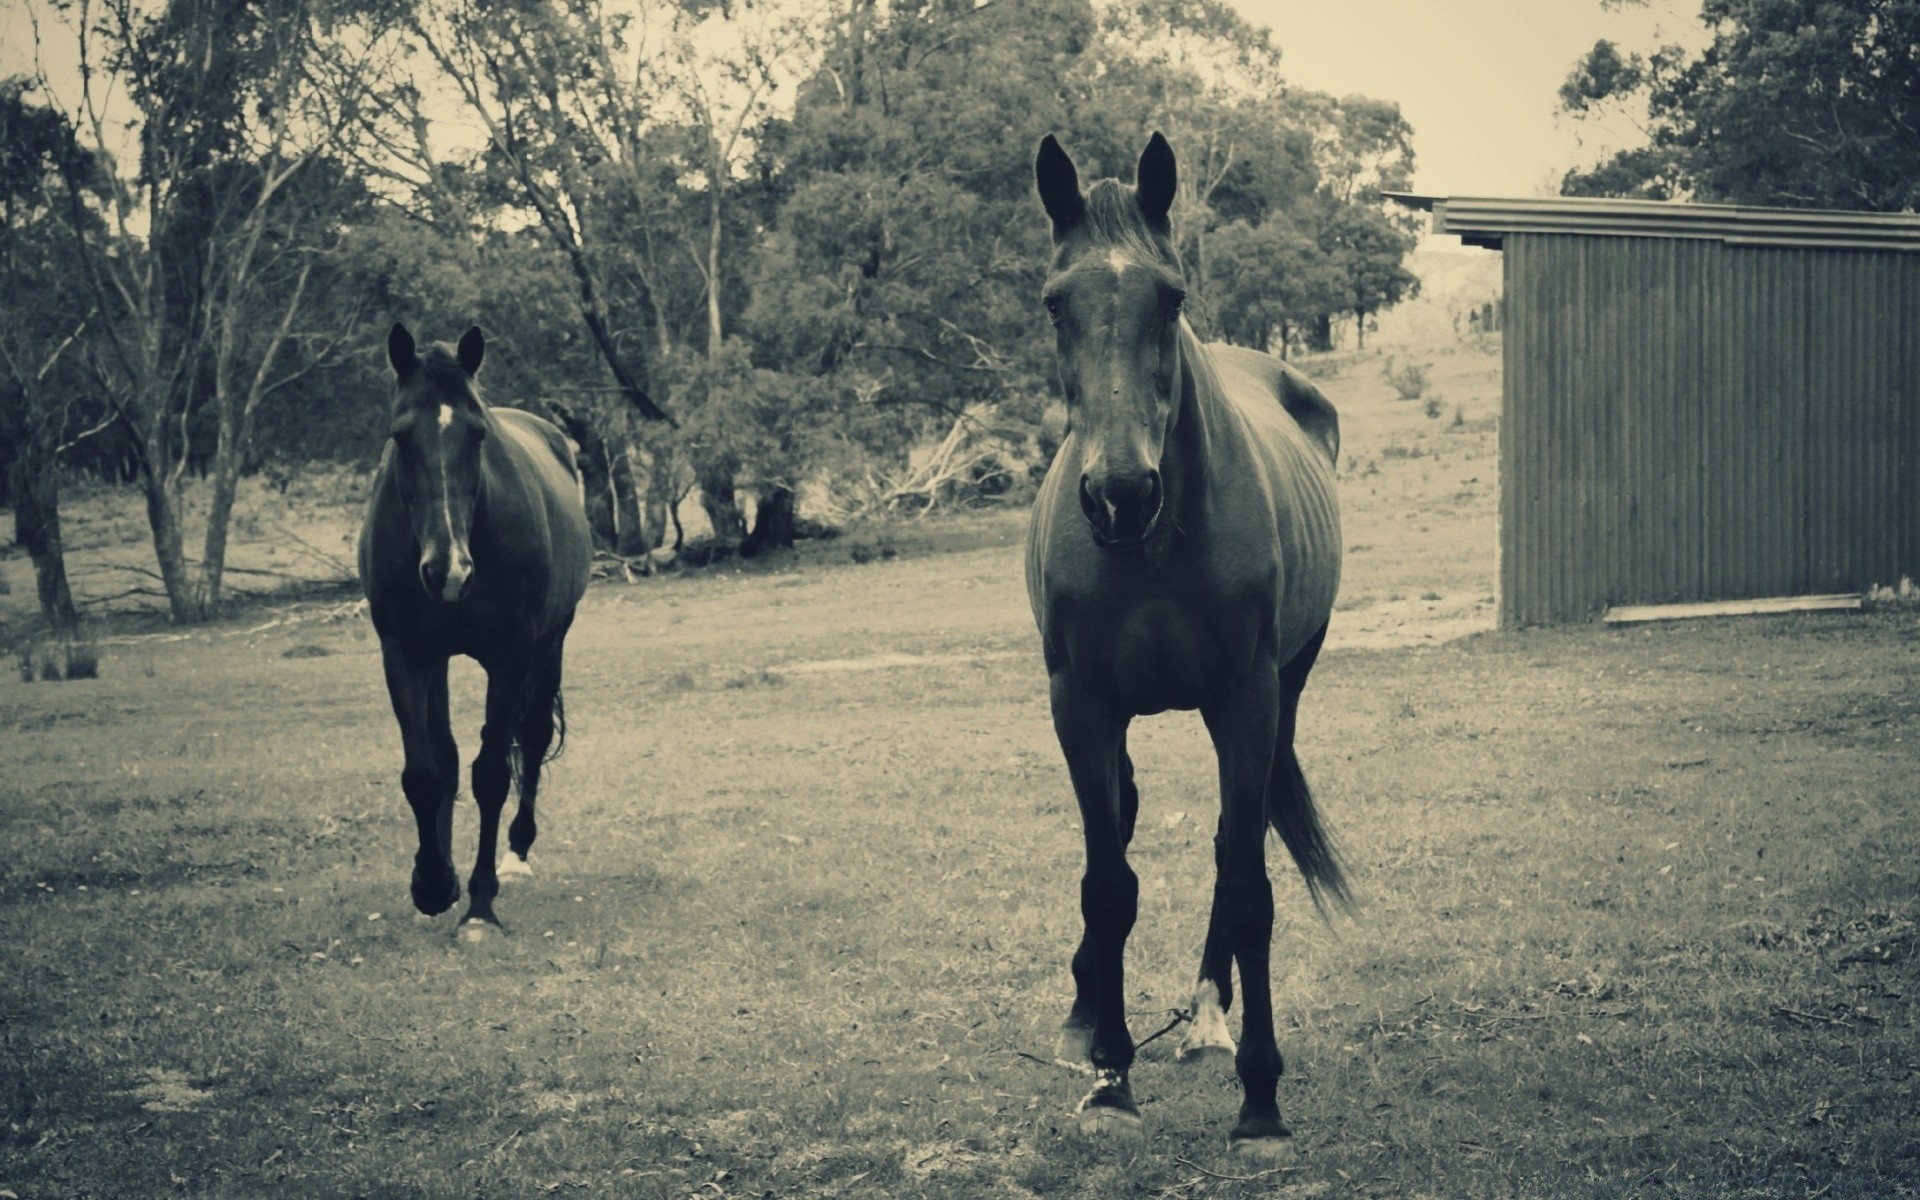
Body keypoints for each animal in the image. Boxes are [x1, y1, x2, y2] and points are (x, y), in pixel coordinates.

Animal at [360, 324, 591, 936]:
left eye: (478, 433)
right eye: (400, 435)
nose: (449, 570)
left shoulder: (510, 656)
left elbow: (491, 775)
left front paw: (481, 906)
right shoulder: (405, 654)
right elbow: (425, 772)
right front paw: (433, 883)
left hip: (550, 642)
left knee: (531, 739)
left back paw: (516, 853)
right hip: (439, 659)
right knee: (445, 754)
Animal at [1029, 130, 1344, 1152]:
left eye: (1170, 297)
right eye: (1055, 302)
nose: (1120, 495)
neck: (1155, 546)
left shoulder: (1246, 699)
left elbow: (1246, 885)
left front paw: (1261, 1097)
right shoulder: (1081, 705)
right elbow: (1108, 883)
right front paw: (1110, 1075)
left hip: (1281, 694)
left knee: (1229, 847)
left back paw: (1209, 1014)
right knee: (1125, 822)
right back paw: (1089, 1011)